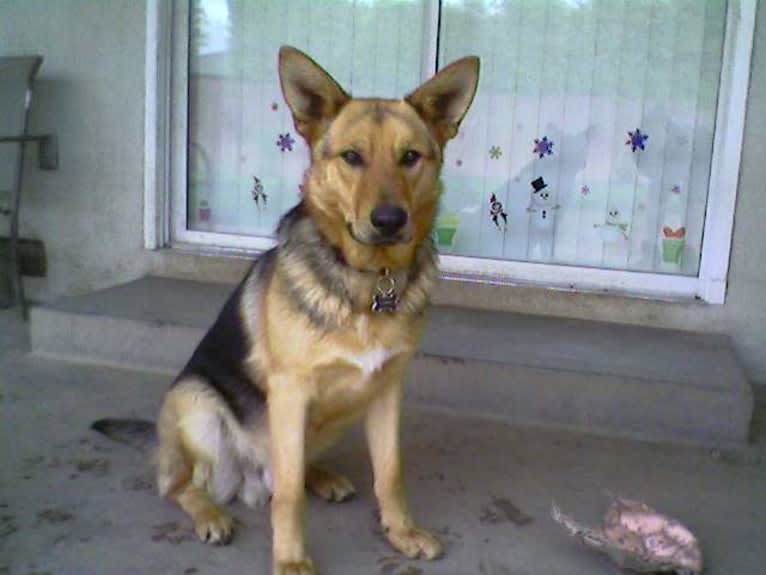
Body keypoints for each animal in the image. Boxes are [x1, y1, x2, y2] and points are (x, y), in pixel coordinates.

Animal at [97, 46, 480, 575]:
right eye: (352, 157)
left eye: (410, 158)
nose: (388, 221)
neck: (368, 279)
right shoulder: (290, 392)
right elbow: (289, 498)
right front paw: (292, 559)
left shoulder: (386, 391)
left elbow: (390, 473)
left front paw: (401, 532)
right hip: (197, 403)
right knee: (183, 484)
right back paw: (210, 514)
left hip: (333, 417)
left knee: (287, 472)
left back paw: (322, 477)